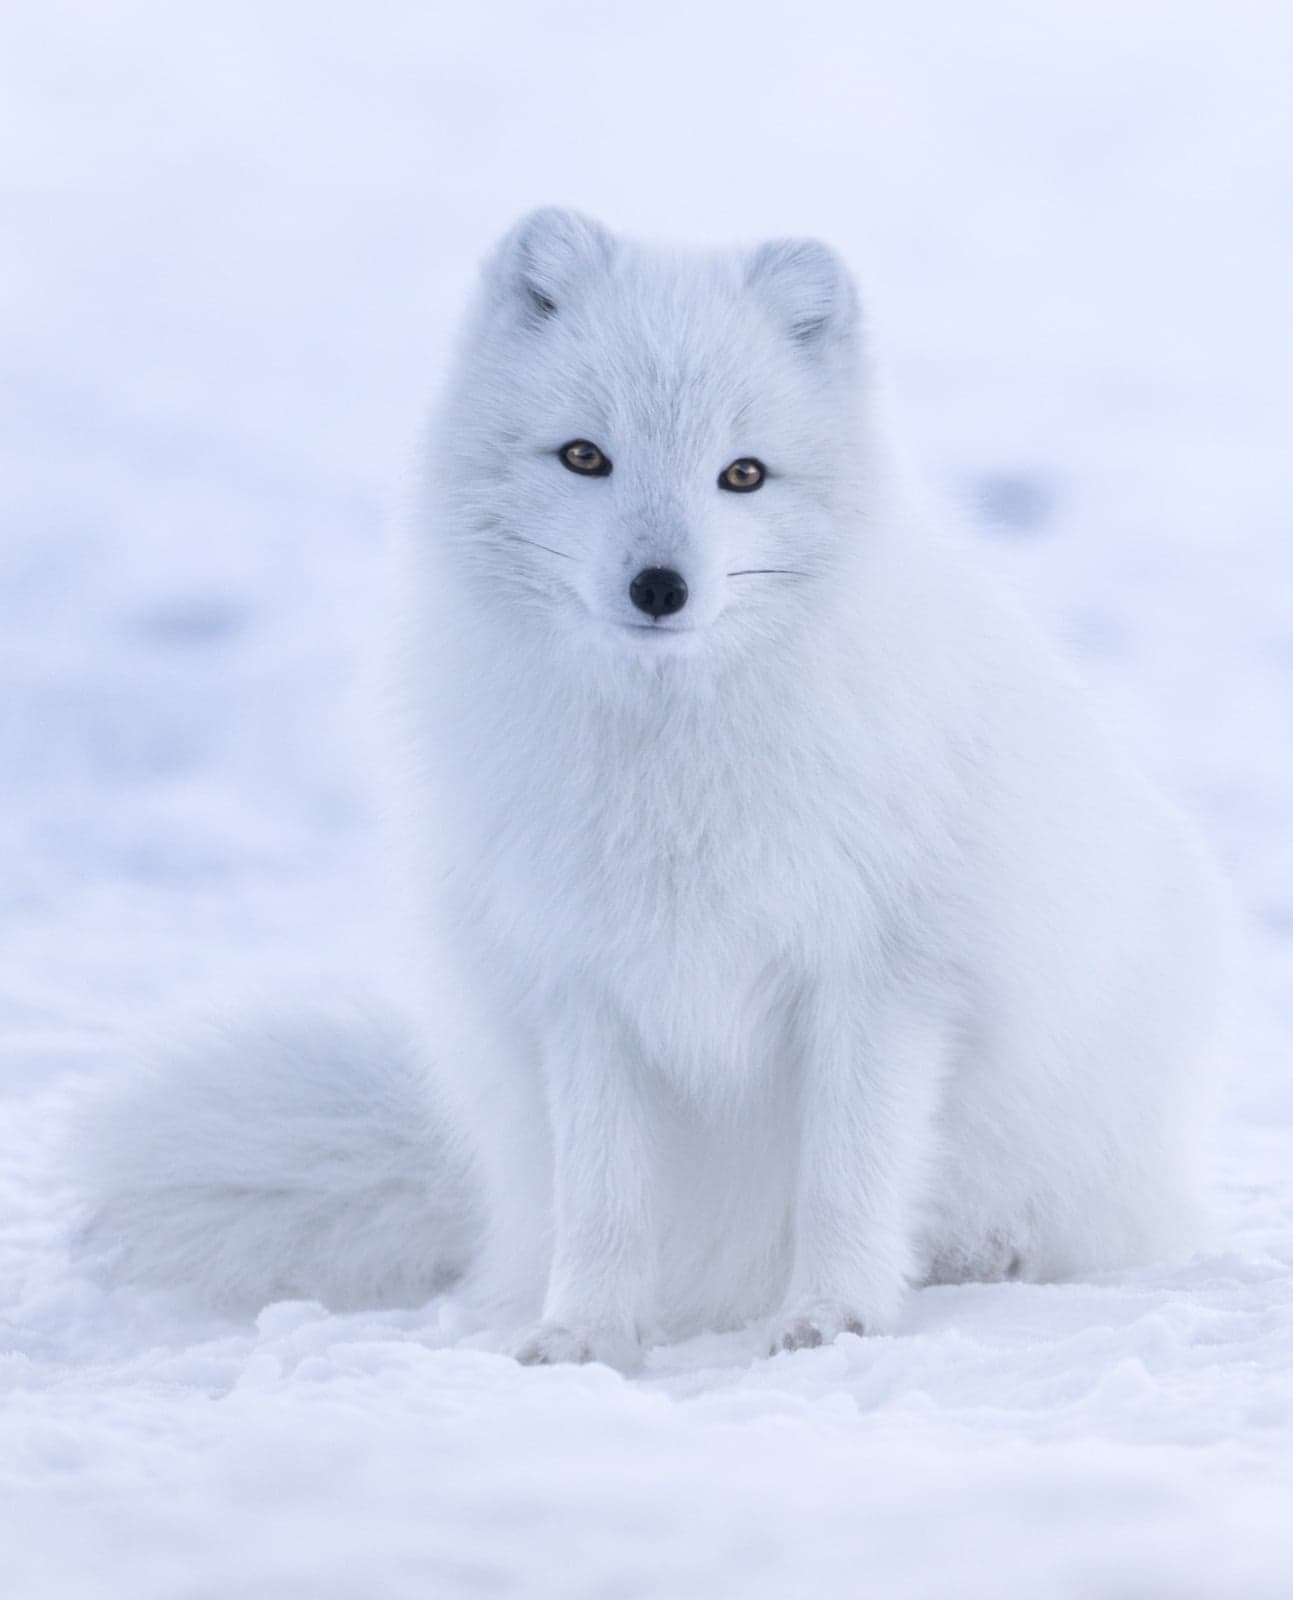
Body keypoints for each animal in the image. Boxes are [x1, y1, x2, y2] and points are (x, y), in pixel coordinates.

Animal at [78, 209, 1227, 1369]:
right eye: (586, 456)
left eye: (744, 474)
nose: (660, 587)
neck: (670, 763)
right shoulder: (581, 984)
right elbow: (605, 1198)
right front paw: (583, 1332)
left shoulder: (881, 974)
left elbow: (847, 1176)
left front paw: (833, 1316)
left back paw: (986, 1251)